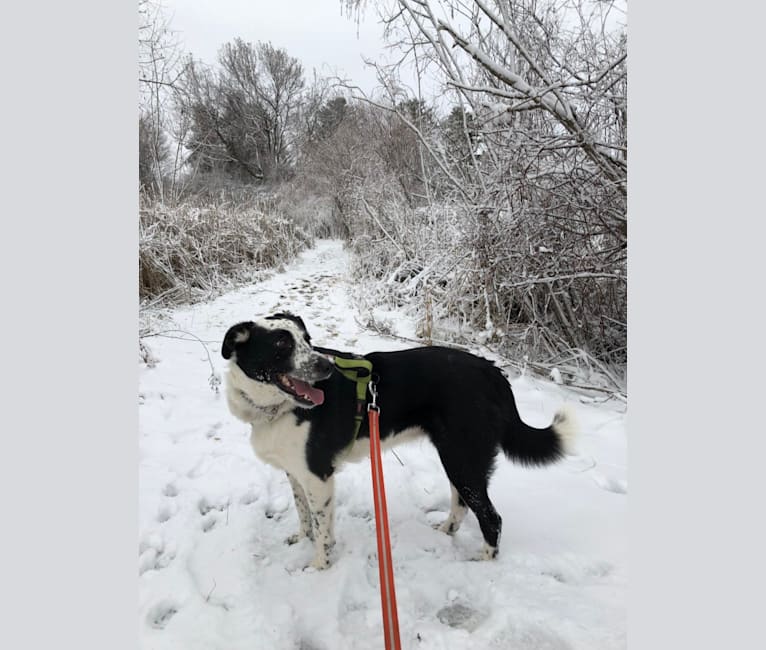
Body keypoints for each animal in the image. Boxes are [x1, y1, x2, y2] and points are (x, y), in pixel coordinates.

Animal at [220, 312, 576, 568]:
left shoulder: (318, 478)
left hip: (462, 458)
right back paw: (445, 532)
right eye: (282, 345)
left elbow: (322, 531)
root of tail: (493, 373)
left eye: (307, 340)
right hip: (457, 456)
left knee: (491, 517)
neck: (276, 408)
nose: (325, 367)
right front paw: (301, 538)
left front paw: (319, 566)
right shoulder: (296, 473)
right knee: (461, 504)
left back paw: (484, 560)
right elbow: (304, 514)